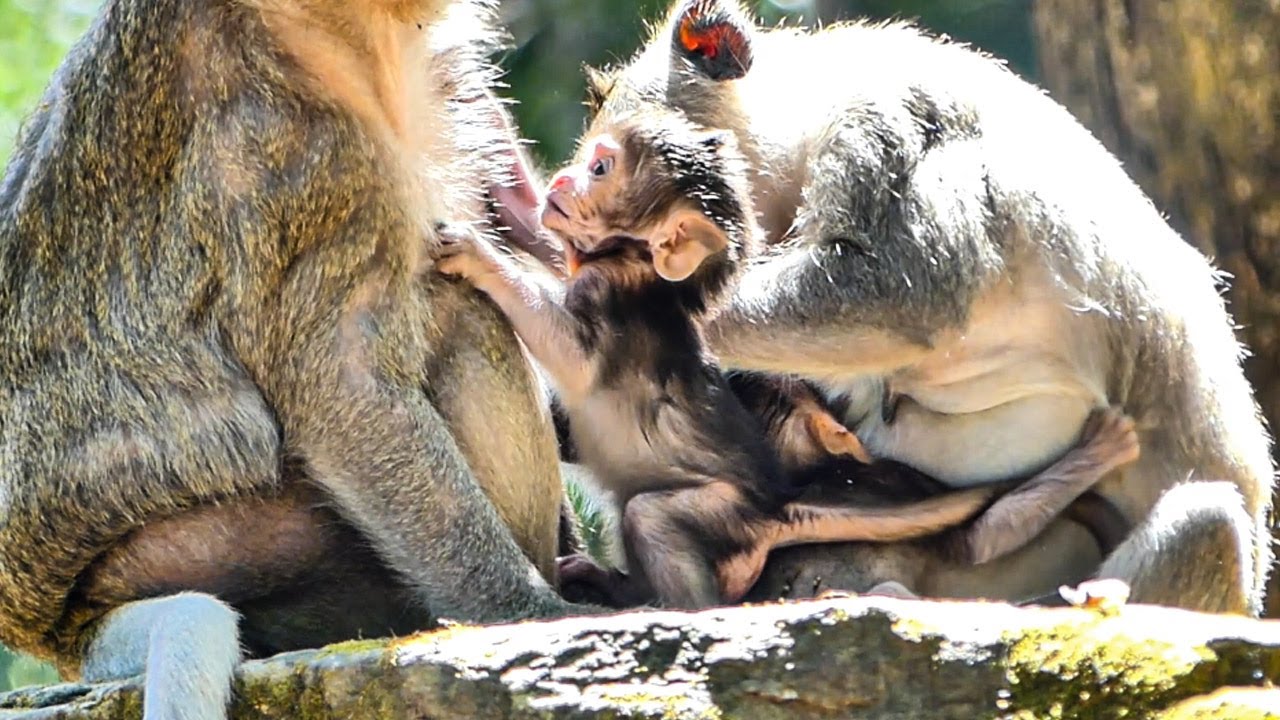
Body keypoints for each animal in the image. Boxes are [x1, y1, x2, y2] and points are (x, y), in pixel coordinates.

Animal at [0, 2, 600, 719]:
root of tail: (63, 635)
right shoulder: (282, 151)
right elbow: (345, 386)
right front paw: (527, 608)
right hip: (214, 549)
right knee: (459, 310)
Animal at [438, 112, 1143, 610]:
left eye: (602, 168)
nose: (560, 183)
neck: (633, 267)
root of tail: (777, 510)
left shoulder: (613, 301)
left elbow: (573, 353)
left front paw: (482, 257)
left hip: (727, 517)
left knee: (654, 517)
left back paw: (665, 608)